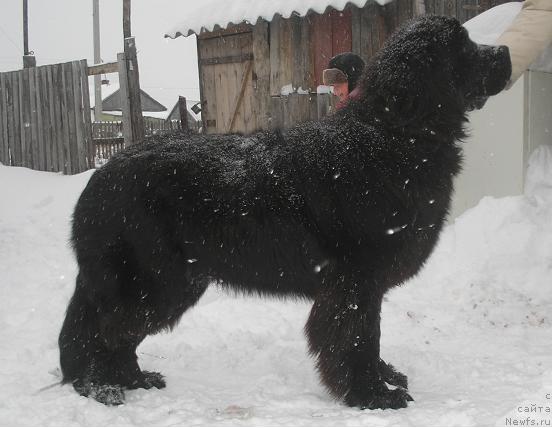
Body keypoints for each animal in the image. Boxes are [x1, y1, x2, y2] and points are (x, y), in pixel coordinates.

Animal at [58, 15, 512, 408]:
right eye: (463, 46)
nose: (505, 50)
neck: (393, 135)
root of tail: (101, 176)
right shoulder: (354, 279)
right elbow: (358, 338)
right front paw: (371, 394)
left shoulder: (363, 283)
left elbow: (372, 335)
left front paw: (382, 378)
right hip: (153, 280)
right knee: (102, 331)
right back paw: (101, 387)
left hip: (173, 282)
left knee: (111, 333)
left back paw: (134, 379)